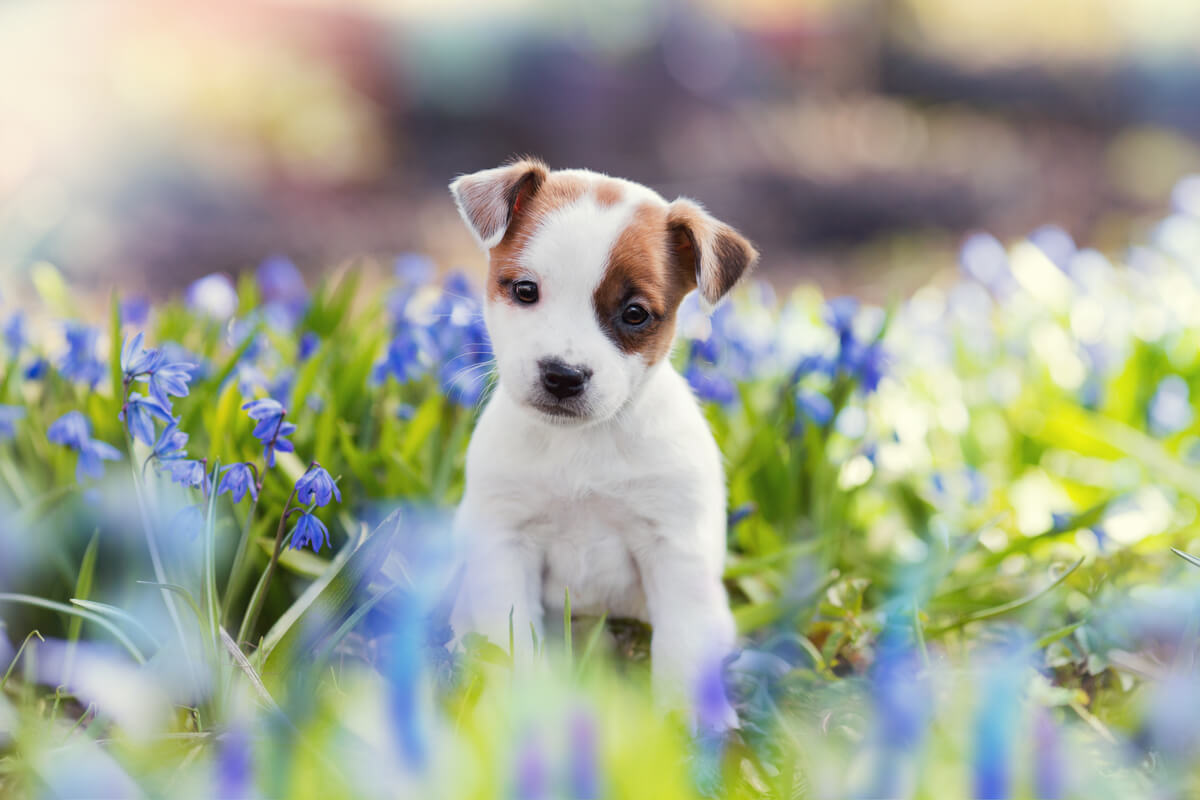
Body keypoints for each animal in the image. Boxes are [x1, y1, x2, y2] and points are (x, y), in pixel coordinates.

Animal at [451, 158, 758, 724]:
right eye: (525, 290)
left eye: (634, 313)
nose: (563, 375)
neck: (581, 445)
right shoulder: (507, 546)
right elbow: (514, 643)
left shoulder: (674, 551)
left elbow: (682, 647)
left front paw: (685, 729)